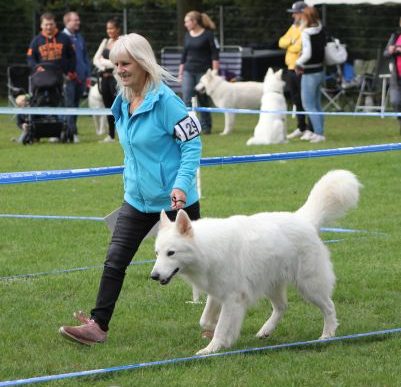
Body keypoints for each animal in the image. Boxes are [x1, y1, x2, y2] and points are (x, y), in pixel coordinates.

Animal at [150, 171, 360, 356]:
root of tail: (303, 219)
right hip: (272, 284)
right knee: (282, 307)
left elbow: (221, 326)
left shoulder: (232, 297)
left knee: (329, 307)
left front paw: (212, 348)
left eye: (171, 253)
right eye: (157, 253)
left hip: (309, 286)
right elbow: (206, 320)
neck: (206, 247)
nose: (154, 276)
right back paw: (266, 330)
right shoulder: (217, 293)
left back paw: (327, 335)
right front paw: (221, 334)